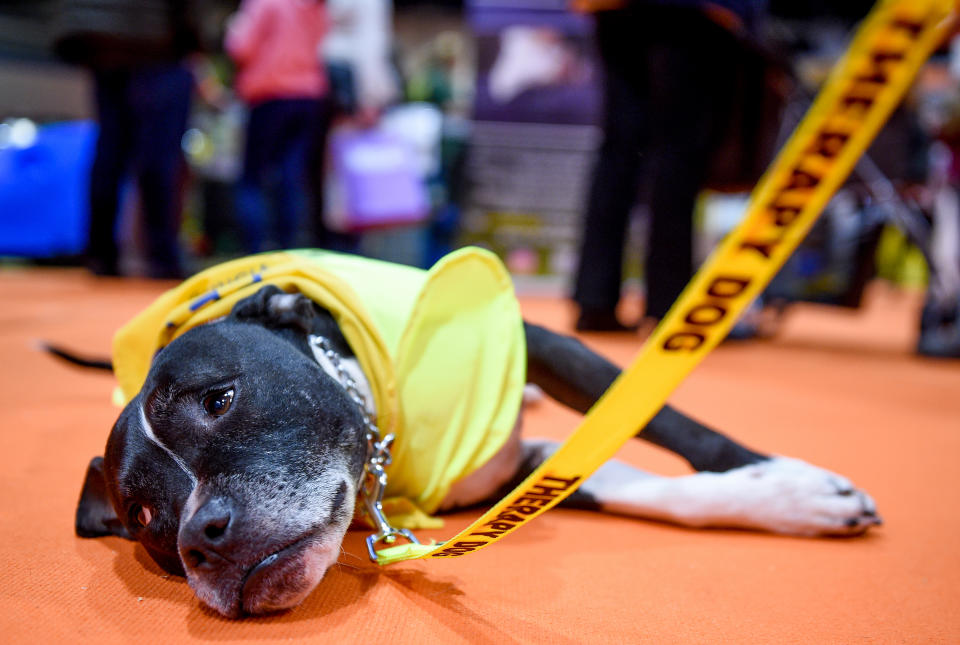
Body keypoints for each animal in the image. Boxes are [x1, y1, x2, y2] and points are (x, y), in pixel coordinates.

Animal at [71, 248, 880, 620]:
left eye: (220, 399)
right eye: (144, 516)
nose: (199, 539)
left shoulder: (547, 344)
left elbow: (665, 418)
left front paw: (786, 483)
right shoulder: (533, 469)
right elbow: (638, 485)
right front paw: (791, 501)